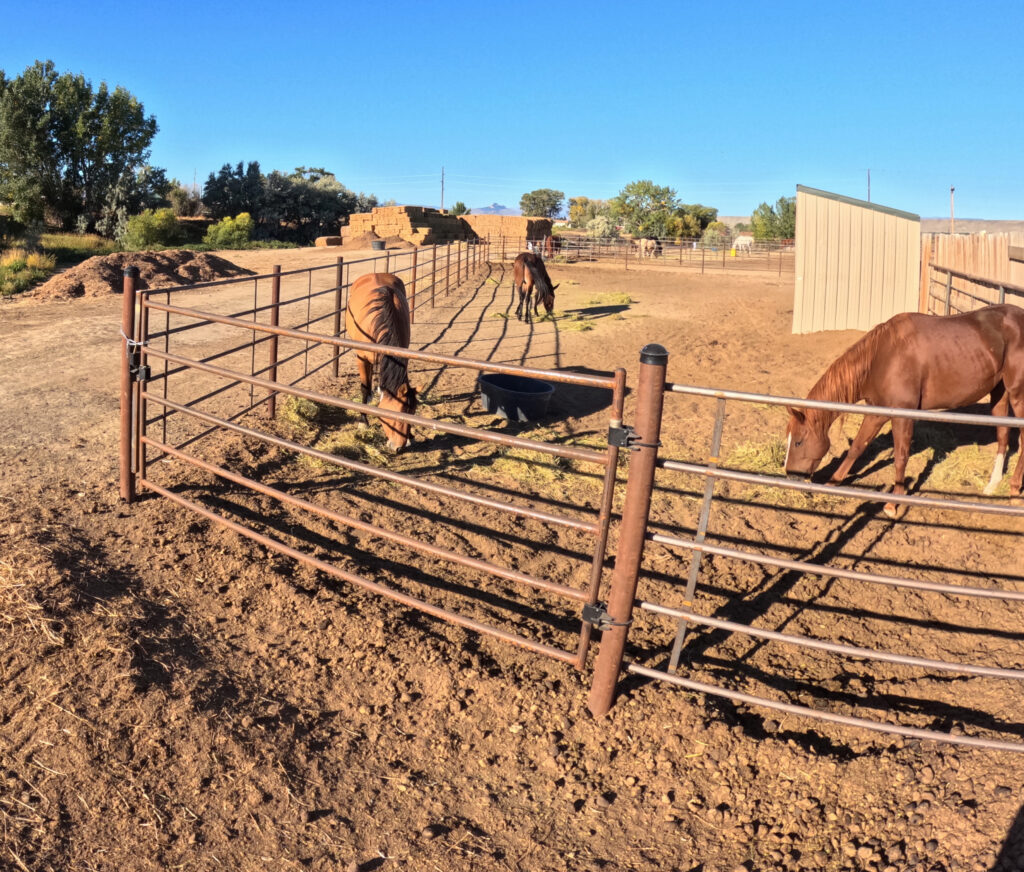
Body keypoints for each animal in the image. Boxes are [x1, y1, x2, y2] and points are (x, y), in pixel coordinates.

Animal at [344, 270, 415, 450]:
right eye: (394, 415)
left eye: (412, 412)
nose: (398, 447)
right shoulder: (362, 358)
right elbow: (364, 388)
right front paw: (363, 422)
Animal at [782, 302, 1024, 513]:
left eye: (798, 441)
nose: (789, 475)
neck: (882, 358)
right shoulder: (877, 412)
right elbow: (857, 447)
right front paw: (832, 483)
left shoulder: (902, 414)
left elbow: (901, 456)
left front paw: (893, 503)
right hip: (1000, 394)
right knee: (1003, 436)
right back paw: (993, 485)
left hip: (1017, 395)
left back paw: (1013, 491)